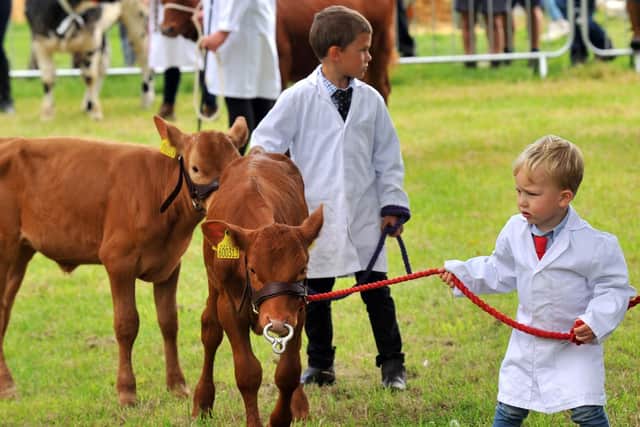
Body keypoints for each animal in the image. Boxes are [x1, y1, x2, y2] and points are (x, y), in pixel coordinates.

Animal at [0, 116, 248, 405]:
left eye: (235, 165)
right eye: (196, 168)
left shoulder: (171, 265)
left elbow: (169, 322)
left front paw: (177, 385)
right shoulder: (118, 261)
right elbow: (127, 324)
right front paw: (127, 391)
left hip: (20, 253)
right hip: (6, 250)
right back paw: (7, 385)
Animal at [25, 0, 154, 120]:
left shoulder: (91, 40)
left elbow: (90, 77)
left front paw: (95, 112)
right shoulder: (40, 42)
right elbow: (48, 79)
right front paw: (46, 114)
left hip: (139, 23)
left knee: (146, 63)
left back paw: (147, 100)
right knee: (103, 68)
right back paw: (87, 105)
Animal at [193, 149, 323, 426]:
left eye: (302, 269)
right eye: (252, 269)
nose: (276, 322)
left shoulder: (298, 310)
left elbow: (289, 370)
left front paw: (282, 417)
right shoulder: (229, 308)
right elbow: (248, 372)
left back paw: (299, 405)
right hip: (213, 289)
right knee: (210, 331)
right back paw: (202, 401)